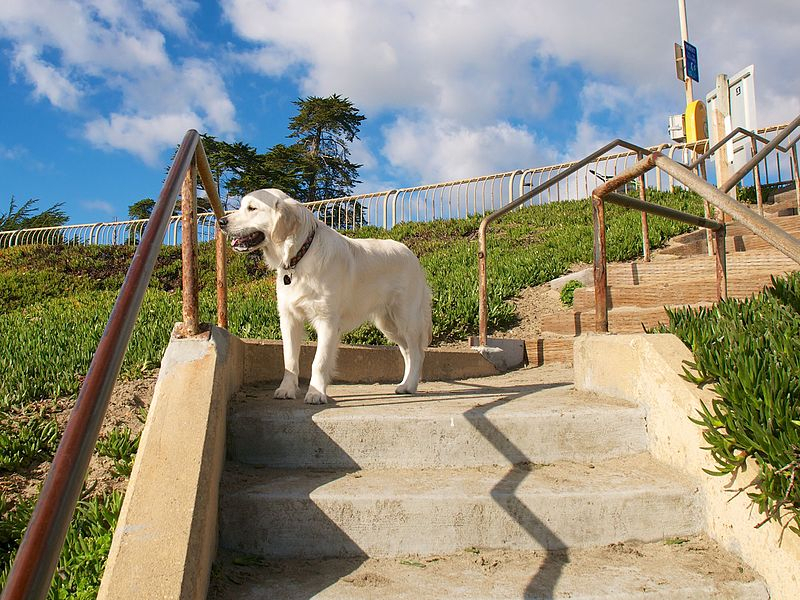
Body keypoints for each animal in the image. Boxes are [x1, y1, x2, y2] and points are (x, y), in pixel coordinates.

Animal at [219, 188, 432, 404]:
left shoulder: (327, 320)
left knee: (417, 352)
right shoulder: (289, 318)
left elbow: (319, 361)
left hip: (406, 318)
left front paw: (316, 393)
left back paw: (410, 385)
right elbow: (289, 359)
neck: (300, 256)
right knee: (407, 351)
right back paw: (404, 384)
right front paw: (287, 389)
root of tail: (411, 254)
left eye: (252, 208)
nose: (221, 221)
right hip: (388, 323)